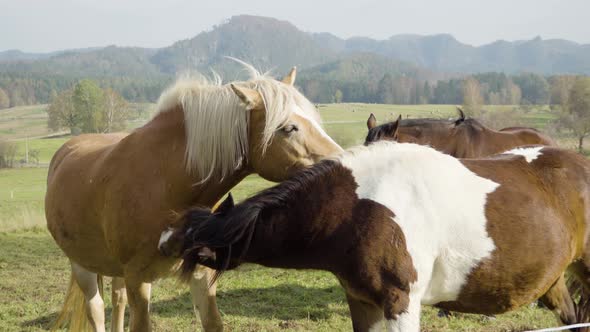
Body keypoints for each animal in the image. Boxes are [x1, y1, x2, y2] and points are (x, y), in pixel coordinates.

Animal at [45, 63, 342, 332]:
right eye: (289, 128)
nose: (341, 165)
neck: (165, 182)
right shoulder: (138, 279)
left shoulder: (201, 274)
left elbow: (212, 323)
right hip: (82, 266)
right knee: (96, 310)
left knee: (117, 300)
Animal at [160, 141, 590, 332]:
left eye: (190, 248)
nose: (160, 244)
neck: (355, 208)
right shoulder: (363, 302)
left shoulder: (401, 304)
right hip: (554, 282)